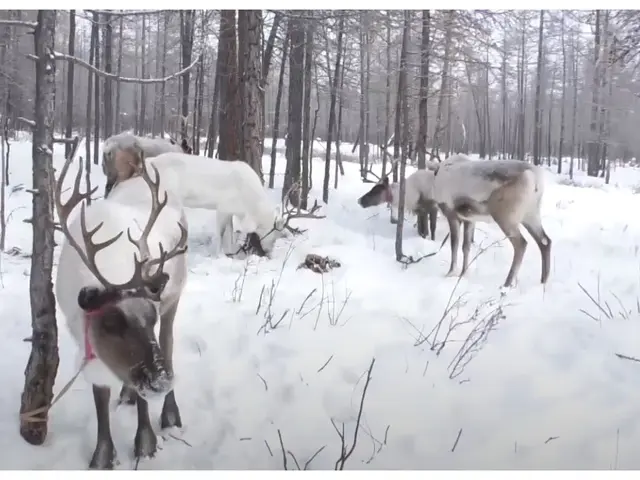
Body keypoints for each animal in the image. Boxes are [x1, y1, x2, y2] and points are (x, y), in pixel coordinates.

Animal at [53, 139, 188, 469]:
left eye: (151, 316)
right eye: (112, 322)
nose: (161, 382)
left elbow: (142, 398)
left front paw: (146, 443)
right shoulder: (87, 341)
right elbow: (100, 397)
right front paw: (102, 455)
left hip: (175, 297)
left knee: (169, 344)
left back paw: (170, 414)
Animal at [102, 148, 324, 258]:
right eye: (275, 233)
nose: (268, 253)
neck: (249, 206)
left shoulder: (231, 211)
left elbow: (230, 235)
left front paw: (229, 252)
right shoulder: (223, 207)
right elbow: (221, 233)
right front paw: (218, 255)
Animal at [431, 153, 551, 288]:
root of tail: (535, 178)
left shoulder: (452, 214)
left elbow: (454, 245)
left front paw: (450, 273)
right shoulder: (469, 219)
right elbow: (466, 246)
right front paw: (463, 273)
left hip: (505, 217)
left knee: (521, 243)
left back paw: (506, 284)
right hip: (531, 214)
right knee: (545, 241)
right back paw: (543, 281)